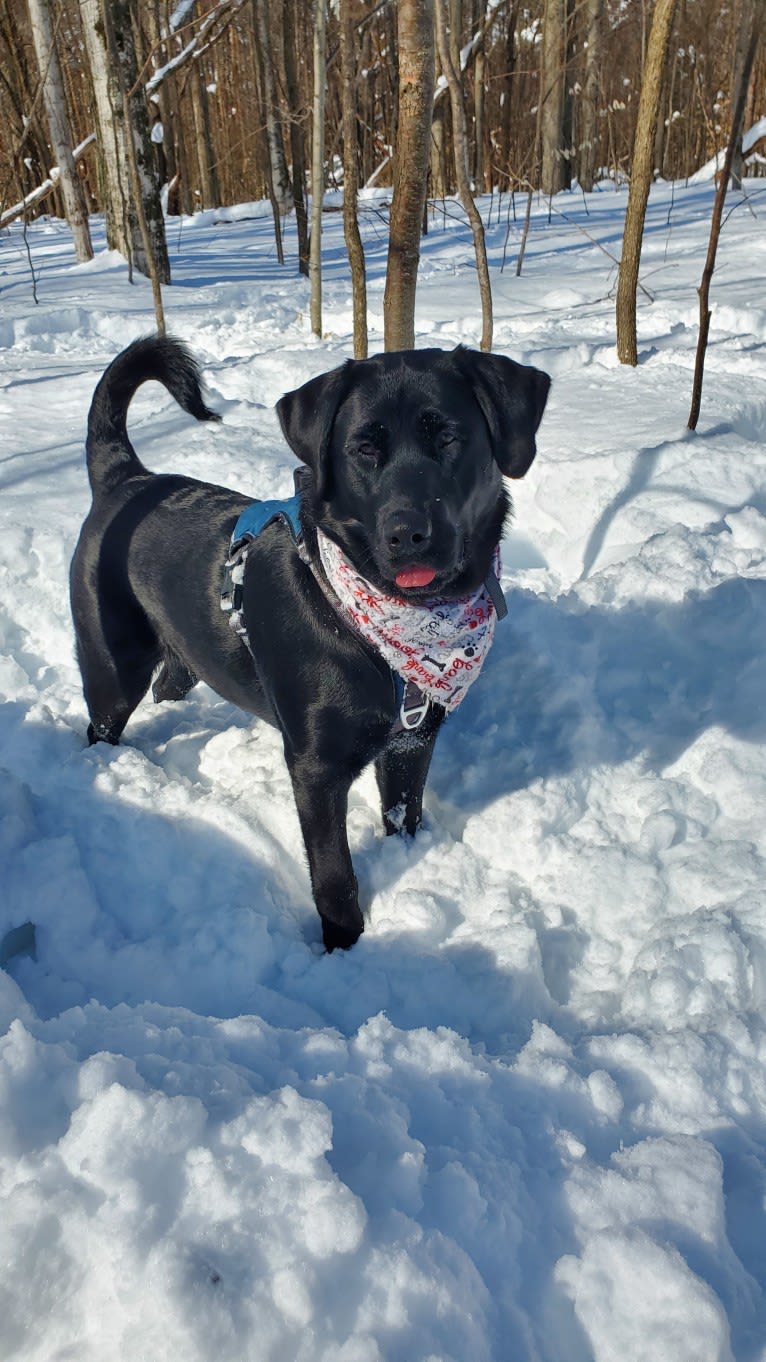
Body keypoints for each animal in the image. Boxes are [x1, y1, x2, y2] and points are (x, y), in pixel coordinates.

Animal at [70, 337, 547, 947]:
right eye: (363, 449)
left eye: (448, 438)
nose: (408, 533)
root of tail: (127, 477)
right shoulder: (315, 768)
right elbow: (334, 873)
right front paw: (344, 944)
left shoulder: (411, 741)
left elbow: (404, 815)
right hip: (113, 665)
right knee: (102, 723)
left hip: (185, 658)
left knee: (168, 686)